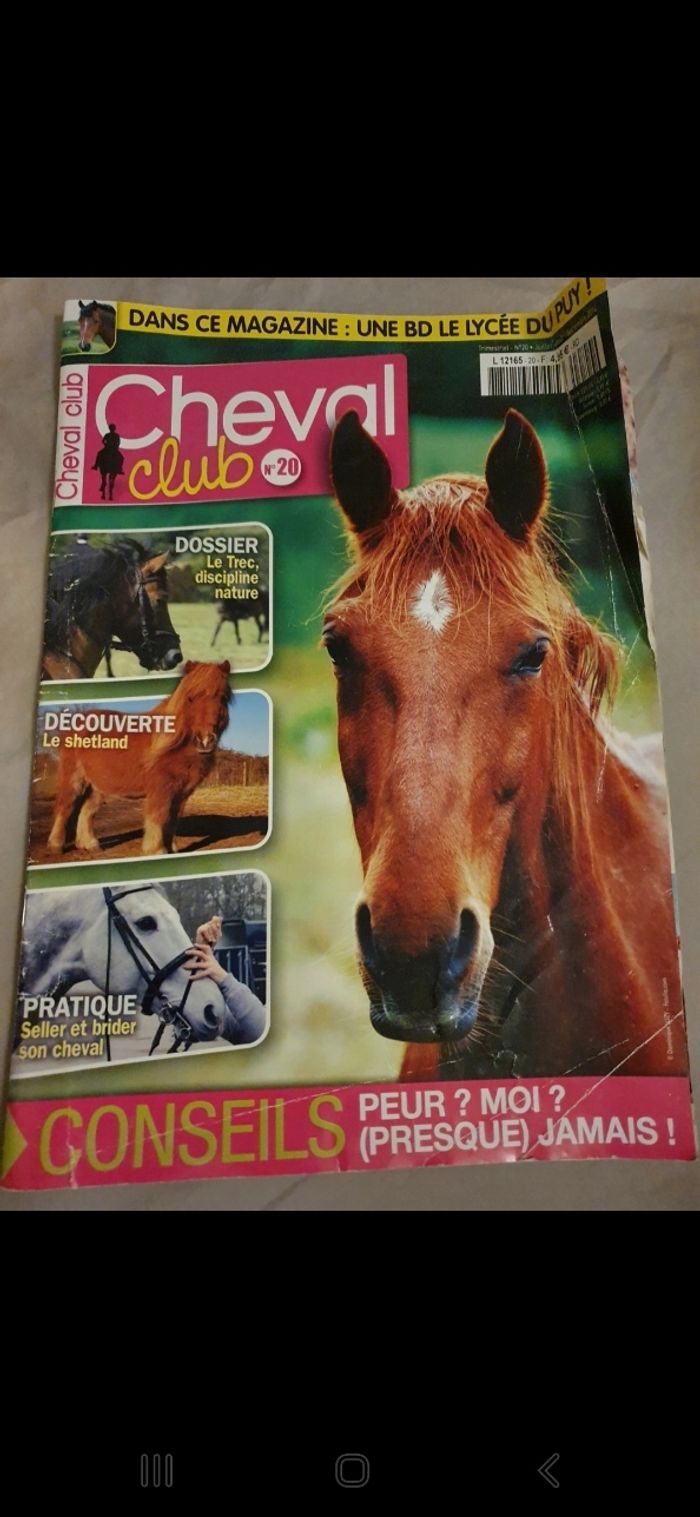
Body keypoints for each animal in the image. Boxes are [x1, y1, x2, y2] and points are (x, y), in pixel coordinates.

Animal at [47, 660, 232, 857]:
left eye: (223, 698)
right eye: (190, 698)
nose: (205, 740)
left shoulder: (182, 793)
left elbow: (173, 820)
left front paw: (172, 849)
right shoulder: (161, 790)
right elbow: (159, 817)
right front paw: (157, 850)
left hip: (96, 786)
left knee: (86, 810)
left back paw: (90, 845)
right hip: (73, 779)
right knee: (65, 807)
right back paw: (56, 846)